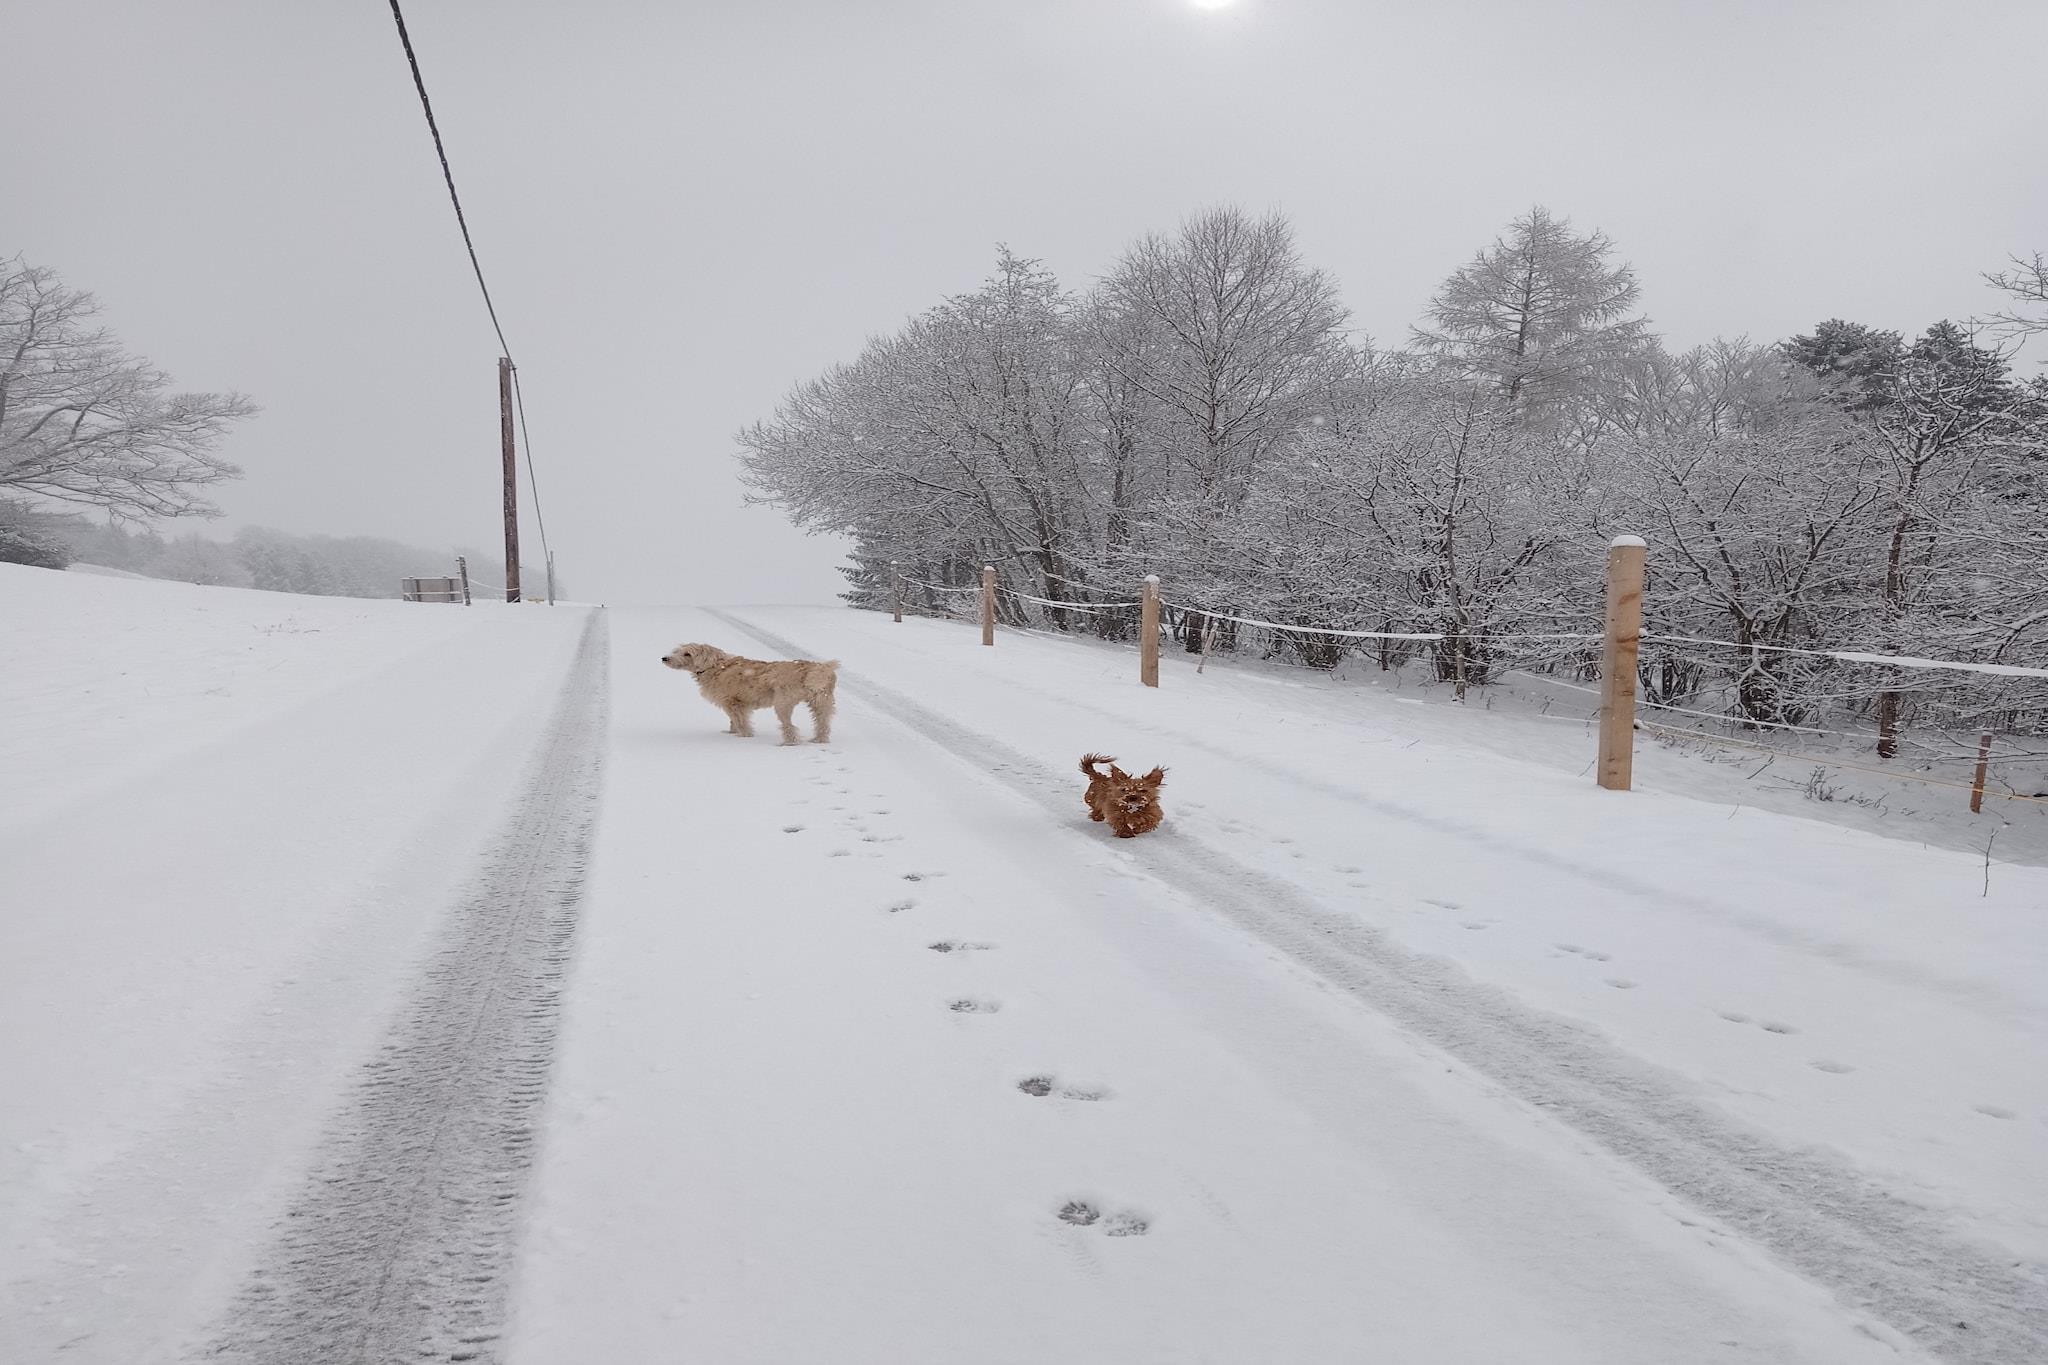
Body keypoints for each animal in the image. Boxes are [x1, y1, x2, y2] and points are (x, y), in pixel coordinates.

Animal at [661, 643, 838, 745]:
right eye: (677, 651)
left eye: (687, 654)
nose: (664, 658)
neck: (714, 666)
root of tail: (816, 669)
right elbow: (733, 721)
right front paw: (731, 733)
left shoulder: (733, 703)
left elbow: (740, 721)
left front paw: (744, 736)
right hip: (822, 702)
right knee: (823, 724)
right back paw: (819, 740)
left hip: (783, 704)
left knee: (789, 726)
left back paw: (788, 743)